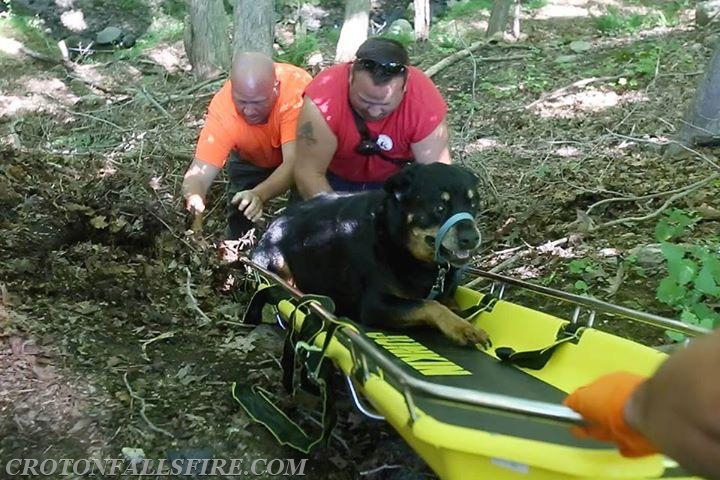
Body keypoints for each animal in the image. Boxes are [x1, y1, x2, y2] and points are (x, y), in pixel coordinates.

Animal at [250, 163, 492, 346]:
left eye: (474, 203)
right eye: (440, 207)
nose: (471, 237)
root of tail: (272, 224)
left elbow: (448, 303)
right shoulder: (374, 305)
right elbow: (430, 305)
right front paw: (461, 327)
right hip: (276, 260)